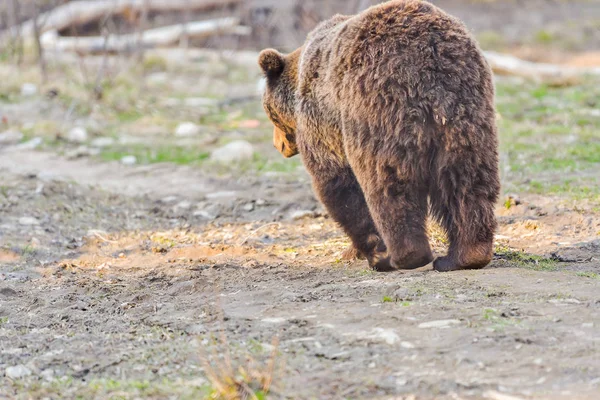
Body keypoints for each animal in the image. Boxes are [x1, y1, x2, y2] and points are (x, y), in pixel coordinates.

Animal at [260, 0, 500, 272]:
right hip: (466, 110)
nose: (277, 145)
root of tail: (429, 61)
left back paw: (403, 256)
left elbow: (337, 183)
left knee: (388, 184)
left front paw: (370, 250)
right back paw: (462, 256)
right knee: (467, 179)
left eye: (269, 112)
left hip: (377, 106)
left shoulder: (323, 121)